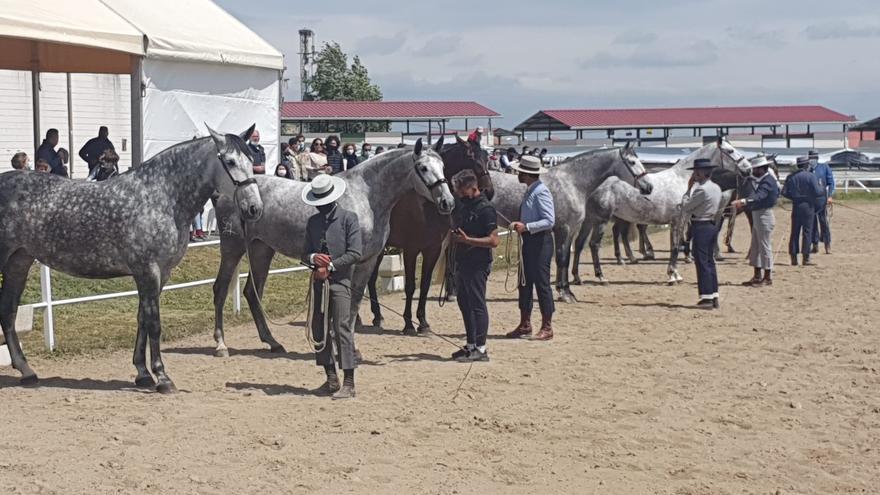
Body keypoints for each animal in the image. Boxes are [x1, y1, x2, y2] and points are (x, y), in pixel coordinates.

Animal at [0, 126, 262, 394]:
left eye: (251, 160)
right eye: (230, 161)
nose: (254, 207)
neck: (161, 197)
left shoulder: (159, 274)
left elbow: (142, 319)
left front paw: (143, 373)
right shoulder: (148, 271)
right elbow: (154, 323)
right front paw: (163, 378)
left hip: (19, 262)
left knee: (8, 311)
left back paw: (27, 371)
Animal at [208, 140, 454, 356]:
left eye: (443, 165)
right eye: (423, 167)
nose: (447, 202)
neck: (365, 197)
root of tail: (225, 192)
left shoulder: (367, 261)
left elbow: (354, 305)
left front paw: (351, 347)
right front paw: (339, 345)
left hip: (262, 250)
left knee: (252, 292)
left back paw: (273, 343)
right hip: (232, 248)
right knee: (220, 289)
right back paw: (221, 345)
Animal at [362, 138, 488, 336]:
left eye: (486, 156)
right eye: (472, 158)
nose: (489, 190)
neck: (424, 207)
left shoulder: (433, 249)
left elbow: (425, 284)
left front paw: (423, 322)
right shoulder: (411, 250)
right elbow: (410, 286)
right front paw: (408, 324)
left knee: (371, 279)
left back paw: (377, 316)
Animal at [484, 144, 648, 302]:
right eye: (632, 162)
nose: (648, 187)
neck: (571, 183)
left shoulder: (572, 230)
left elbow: (567, 258)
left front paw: (568, 291)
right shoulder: (563, 229)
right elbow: (561, 259)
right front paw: (564, 293)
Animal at [576, 140, 748, 286]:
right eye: (730, 150)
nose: (747, 169)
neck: (682, 180)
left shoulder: (680, 221)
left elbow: (675, 245)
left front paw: (675, 274)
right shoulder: (678, 220)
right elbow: (675, 247)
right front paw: (672, 276)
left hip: (592, 220)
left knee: (582, 243)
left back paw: (580, 277)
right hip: (601, 220)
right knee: (594, 244)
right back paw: (601, 276)